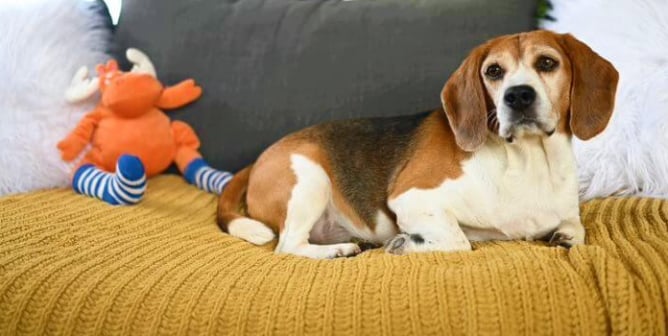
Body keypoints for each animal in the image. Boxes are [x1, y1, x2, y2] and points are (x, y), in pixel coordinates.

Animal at [217, 30, 620, 258]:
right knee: (287, 246)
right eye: (494, 71)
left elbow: (576, 230)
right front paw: (406, 242)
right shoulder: (412, 197)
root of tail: (261, 158)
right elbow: (460, 240)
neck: (526, 161)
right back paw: (339, 250)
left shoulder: (566, 214)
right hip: (309, 177)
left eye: (547, 63)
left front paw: (563, 236)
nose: (517, 96)